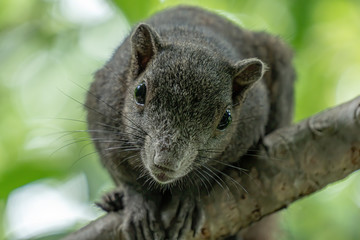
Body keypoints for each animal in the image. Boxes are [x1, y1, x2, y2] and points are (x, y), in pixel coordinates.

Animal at [86, 5, 294, 240]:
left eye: (226, 119)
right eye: (140, 92)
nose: (166, 162)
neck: (194, 41)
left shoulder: (249, 124)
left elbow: (205, 176)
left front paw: (187, 198)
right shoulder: (103, 115)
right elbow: (124, 173)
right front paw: (138, 202)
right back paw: (114, 200)